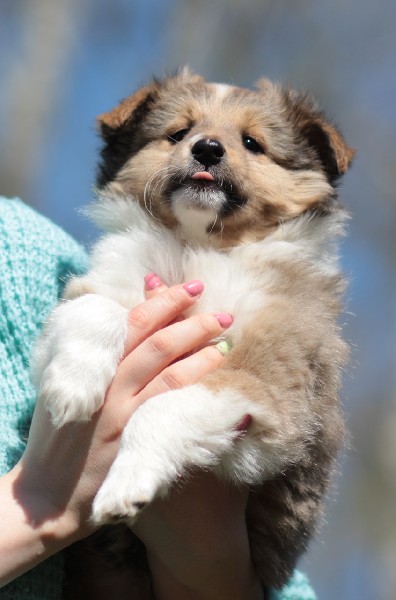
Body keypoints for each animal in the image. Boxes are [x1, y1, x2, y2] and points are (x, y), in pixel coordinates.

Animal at [34, 68, 354, 592]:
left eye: (252, 142)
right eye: (178, 132)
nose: (206, 149)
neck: (201, 246)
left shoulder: (272, 388)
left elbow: (164, 407)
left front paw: (125, 487)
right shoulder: (100, 289)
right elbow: (93, 308)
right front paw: (73, 388)